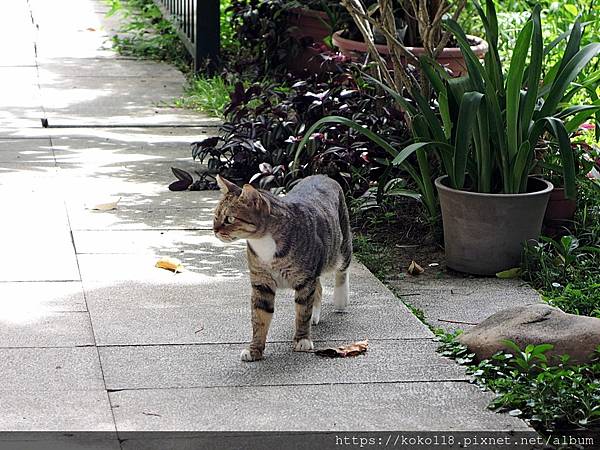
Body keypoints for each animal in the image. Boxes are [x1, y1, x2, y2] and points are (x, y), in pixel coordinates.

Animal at [213, 174, 352, 360]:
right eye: (215, 216)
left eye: (230, 219)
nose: (214, 230)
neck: (264, 243)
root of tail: (323, 175)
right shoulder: (261, 282)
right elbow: (259, 317)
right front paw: (254, 349)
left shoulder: (305, 279)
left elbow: (302, 312)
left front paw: (302, 340)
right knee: (319, 287)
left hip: (339, 245)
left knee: (342, 269)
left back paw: (340, 299)